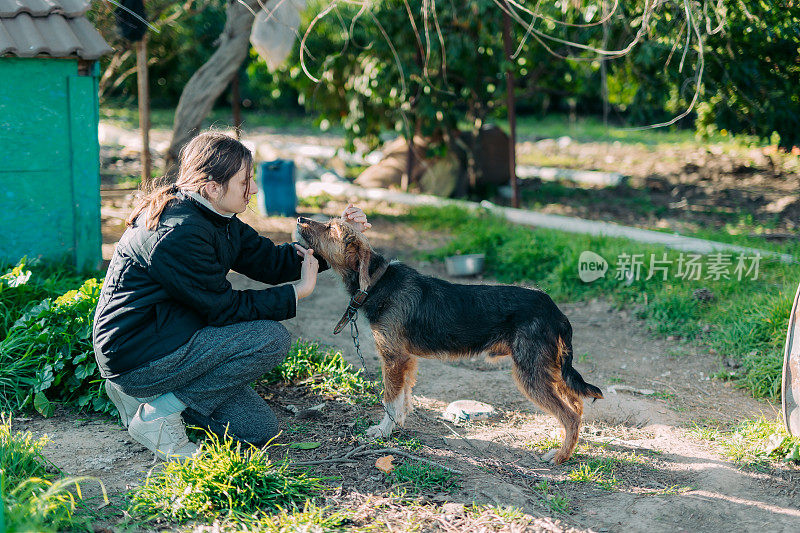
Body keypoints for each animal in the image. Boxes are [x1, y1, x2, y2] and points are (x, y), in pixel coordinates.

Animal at [296, 215, 604, 462]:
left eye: (330, 228)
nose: (299, 218)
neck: (378, 281)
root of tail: (554, 309)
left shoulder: (393, 358)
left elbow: (390, 398)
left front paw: (383, 430)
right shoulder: (406, 360)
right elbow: (404, 396)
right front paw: (398, 424)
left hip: (532, 373)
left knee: (570, 415)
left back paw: (560, 456)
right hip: (550, 368)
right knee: (576, 406)